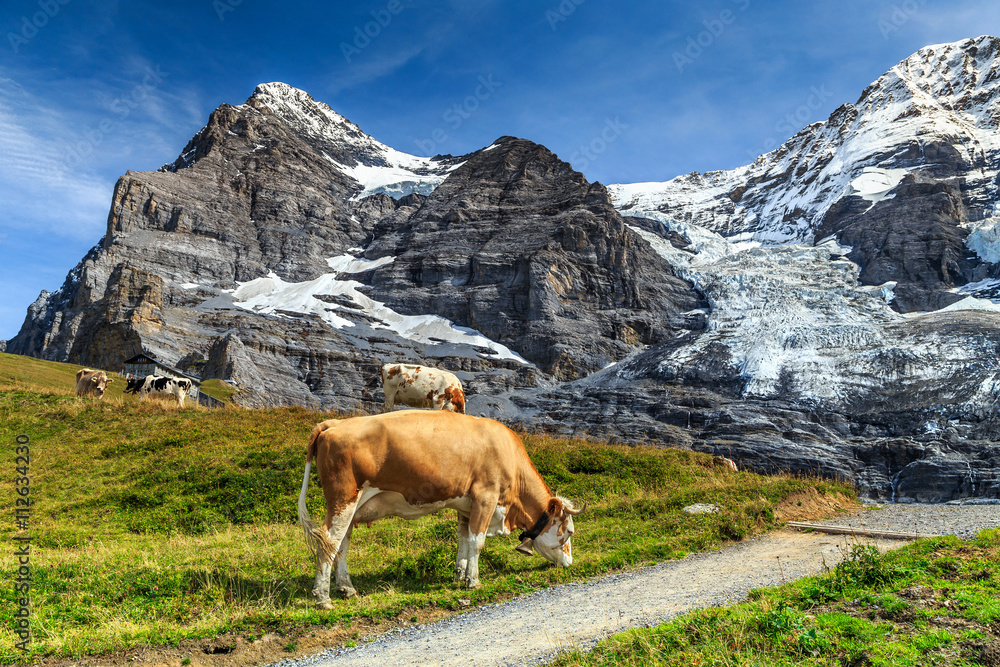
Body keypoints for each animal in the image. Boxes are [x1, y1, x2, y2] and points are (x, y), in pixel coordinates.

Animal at [292, 410, 584, 608]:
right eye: (568, 532)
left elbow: (464, 539)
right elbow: (477, 541)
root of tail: (335, 423)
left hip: (350, 508)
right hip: (343, 500)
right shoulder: (486, 496)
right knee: (328, 541)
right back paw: (323, 598)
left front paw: (460, 574)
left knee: (341, 545)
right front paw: (473, 581)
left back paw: (346, 588)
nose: (570, 563)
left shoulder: (466, 505)